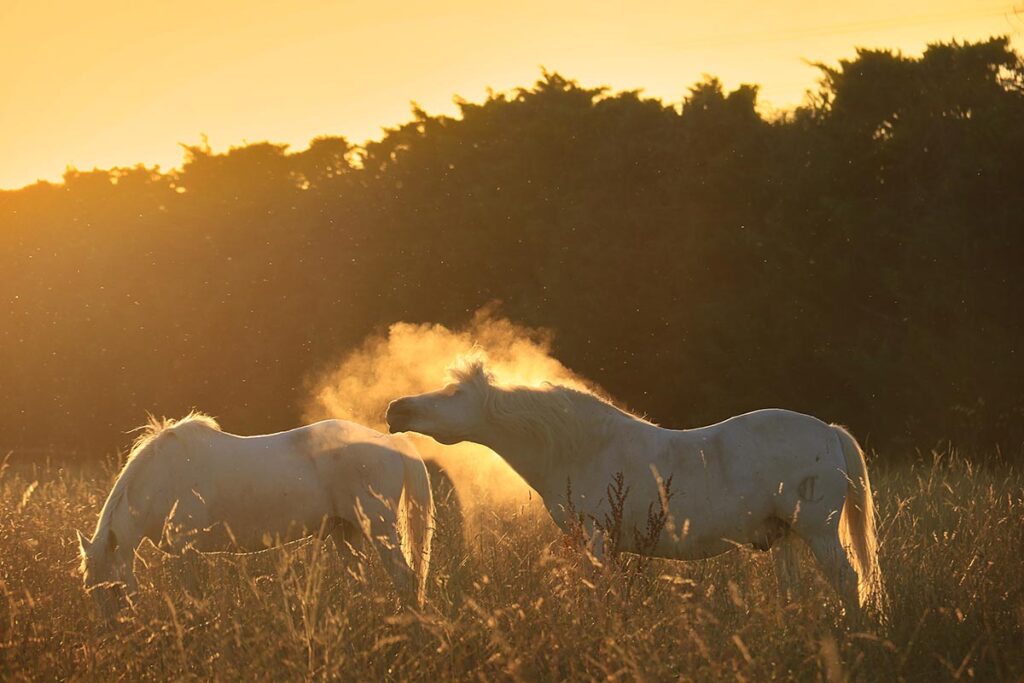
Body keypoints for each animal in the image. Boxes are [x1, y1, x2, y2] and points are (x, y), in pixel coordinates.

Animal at [76, 412, 433, 618]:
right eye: (91, 589)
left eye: (115, 588)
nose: (122, 635)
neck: (165, 476)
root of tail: (391, 441)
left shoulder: (186, 549)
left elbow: (194, 597)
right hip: (347, 532)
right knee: (362, 583)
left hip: (379, 531)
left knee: (406, 579)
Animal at [386, 360, 883, 614]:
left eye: (453, 395)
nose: (395, 410)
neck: (581, 448)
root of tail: (829, 432)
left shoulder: (597, 541)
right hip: (786, 538)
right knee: (792, 591)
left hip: (819, 534)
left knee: (849, 580)